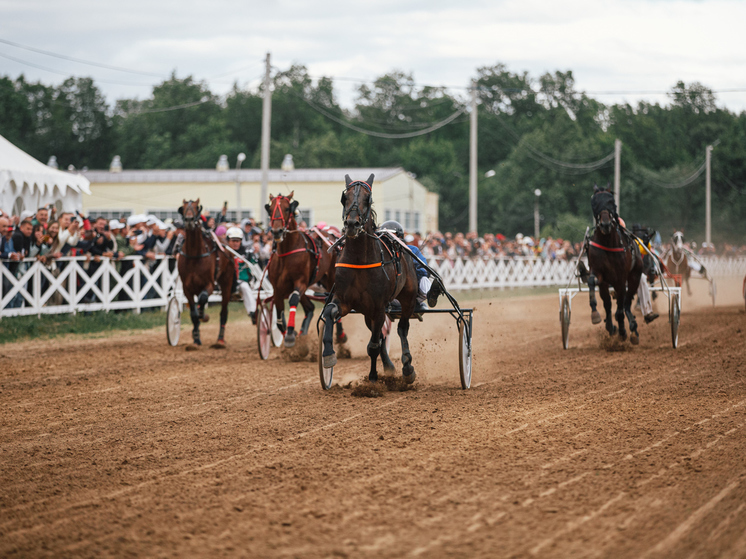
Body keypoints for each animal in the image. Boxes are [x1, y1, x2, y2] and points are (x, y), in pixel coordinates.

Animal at [177, 199, 232, 348]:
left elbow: (202, 299)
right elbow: (193, 313)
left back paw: (220, 339)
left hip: (226, 283)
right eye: (183, 207)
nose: (189, 220)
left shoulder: (209, 284)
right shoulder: (187, 288)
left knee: (223, 312)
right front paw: (196, 338)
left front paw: (204, 315)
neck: (194, 255)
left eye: (197, 207)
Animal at [264, 192, 346, 350]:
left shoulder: (300, 281)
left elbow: (293, 299)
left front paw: (290, 334)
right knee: (310, 307)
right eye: (270, 210)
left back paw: (340, 335)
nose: (277, 231)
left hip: (331, 279)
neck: (287, 252)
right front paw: (291, 335)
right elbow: (279, 314)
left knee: (333, 300)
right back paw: (303, 333)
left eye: (287, 209)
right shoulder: (277, 288)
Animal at [318, 175, 418, 384]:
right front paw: (329, 354)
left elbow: (373, 345)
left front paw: (372, 378)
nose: (352, 224)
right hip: (366, 312)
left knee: (402, 328)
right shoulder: (345, 300)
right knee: (380, 335)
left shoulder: (379, 306)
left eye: (368, 198)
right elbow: (330, 311)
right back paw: (389, 365)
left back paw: (407, 367)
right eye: (345, 197)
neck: (359, 259)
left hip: (408, 297)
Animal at [588, 186, 640, 344]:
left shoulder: (620, 278)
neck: (607, 243)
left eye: (611, 202)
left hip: (635, 276)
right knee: (609, 304)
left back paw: (632, 329)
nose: (605, 224)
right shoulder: (599, 274)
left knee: (626, 302)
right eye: (595, 202)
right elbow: (592, 282)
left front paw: (623, 331)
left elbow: (621, 305)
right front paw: (596, 314)